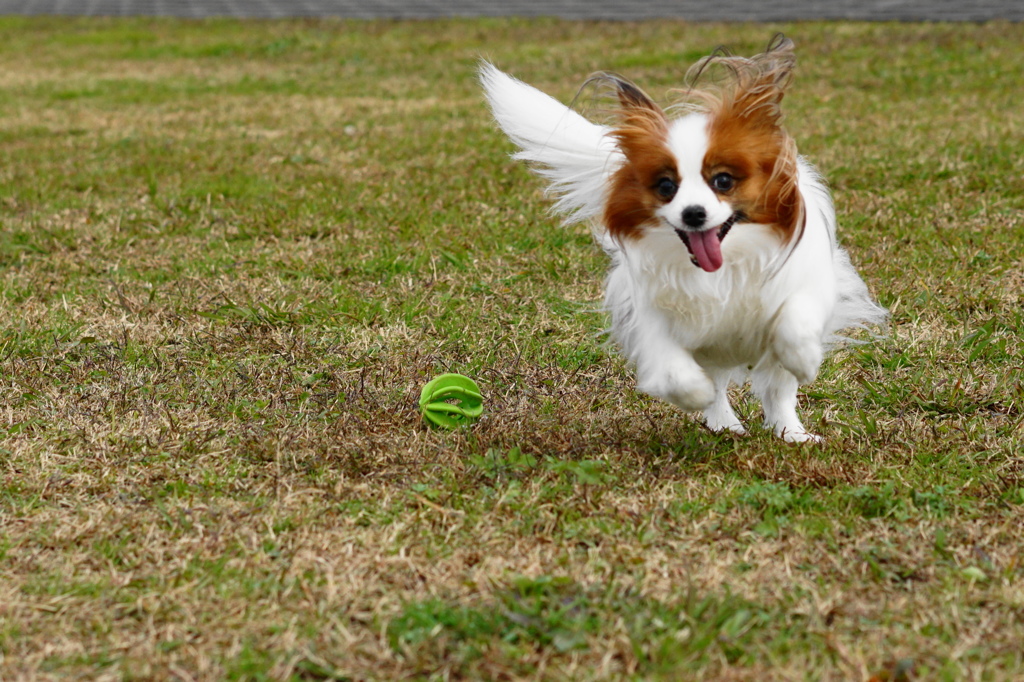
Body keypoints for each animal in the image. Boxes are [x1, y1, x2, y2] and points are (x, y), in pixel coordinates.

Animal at [481, 37, 888, 440]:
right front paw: (697, 396)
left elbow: (794, 322)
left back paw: (792, 434)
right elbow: (676, 371)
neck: (724, 265)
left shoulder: (807, 282)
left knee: (778, 392)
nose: (693, 213)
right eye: (666, 187)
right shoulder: (653, 312)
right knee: (722, 380)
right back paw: (725, 423)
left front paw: (805, 360)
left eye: (723, 180)